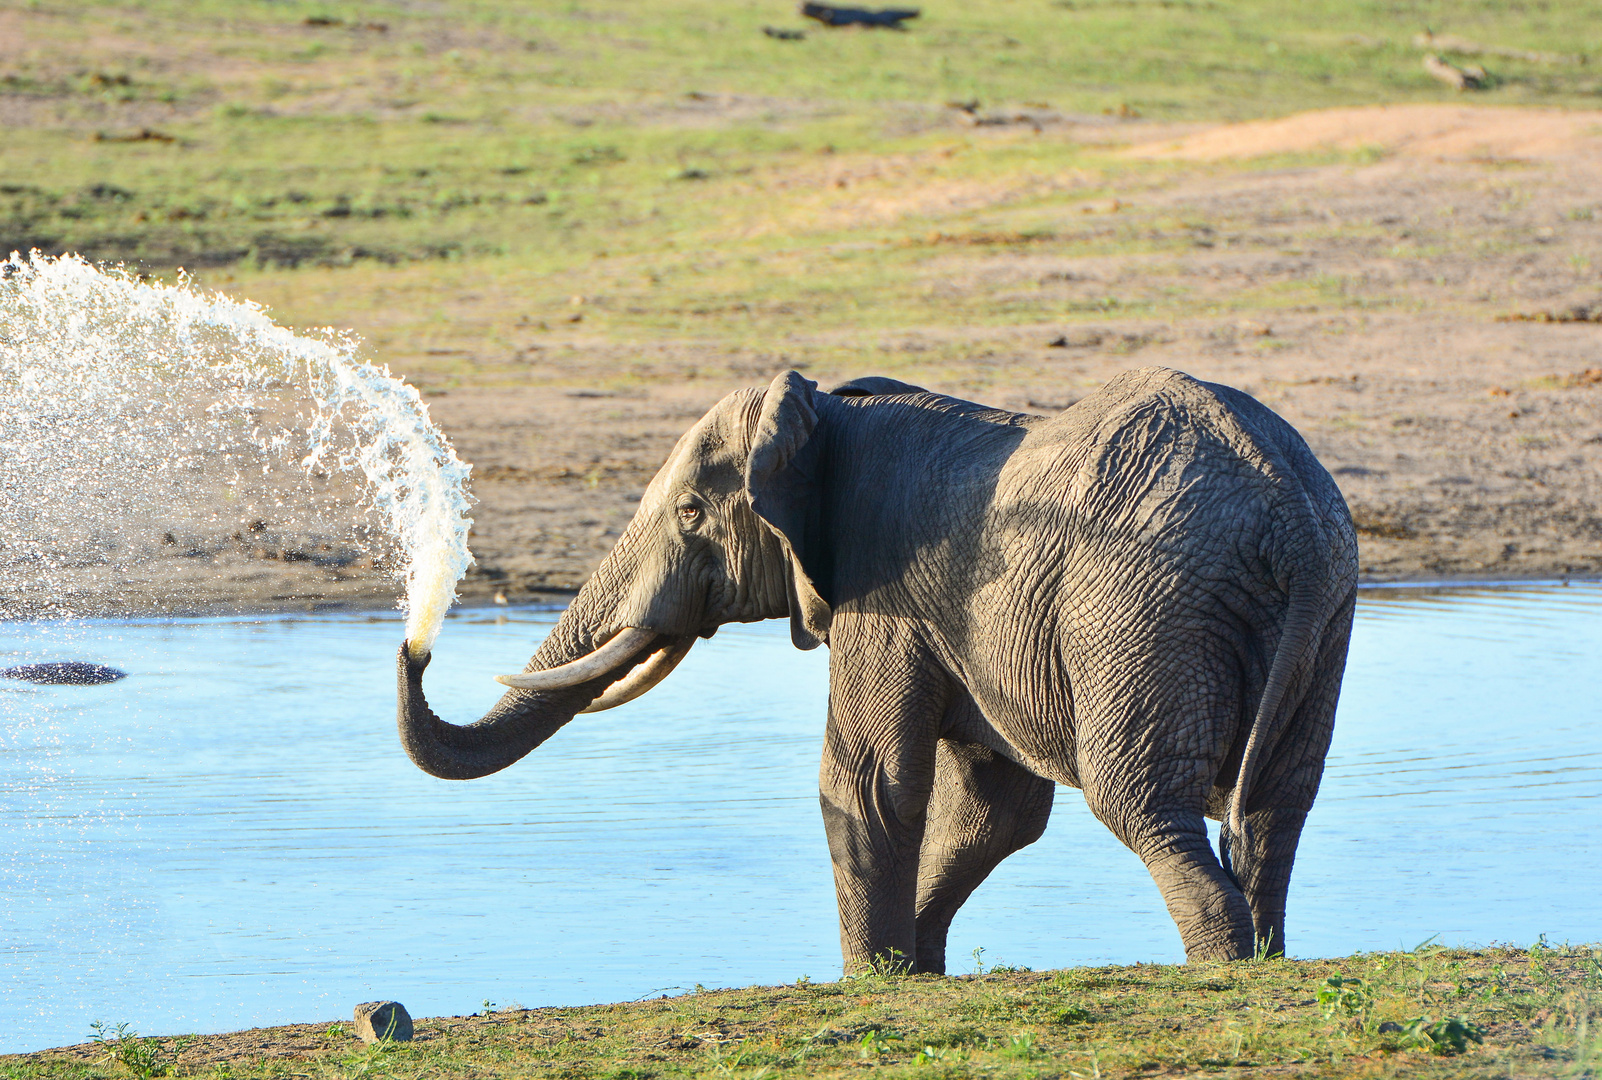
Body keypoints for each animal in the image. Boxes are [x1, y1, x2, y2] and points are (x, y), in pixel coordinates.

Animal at [394, 365, 1358, 974]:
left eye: (693, 513)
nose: (416, 641)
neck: (826, 415)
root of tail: (1291, 517)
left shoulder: (883, 594)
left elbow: (865, 782)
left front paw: (874, 979)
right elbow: (993, 811)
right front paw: (917, 967)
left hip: (1140, 609)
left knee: (1141, 802)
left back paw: (1221, 967)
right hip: (1320, 616)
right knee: (1276, 804)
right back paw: (1264, 954)